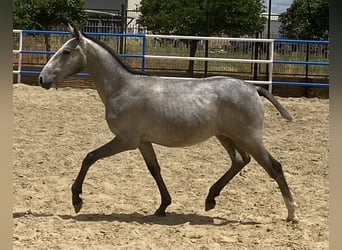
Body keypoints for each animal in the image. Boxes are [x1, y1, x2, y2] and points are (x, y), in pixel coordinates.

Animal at [38, 23, 298, 223]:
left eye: (66, 52)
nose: (42, 79)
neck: (122, 89)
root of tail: (253, 88)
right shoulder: (143, 142)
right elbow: (155, 170)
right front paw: (163, 206)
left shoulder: (125, 140)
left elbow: (90, 157)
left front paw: (77, 200)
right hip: (226, 136)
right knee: (240, 161)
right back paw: (210, 199)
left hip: (249, 138)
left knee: (274, 167)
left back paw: (292, 213)